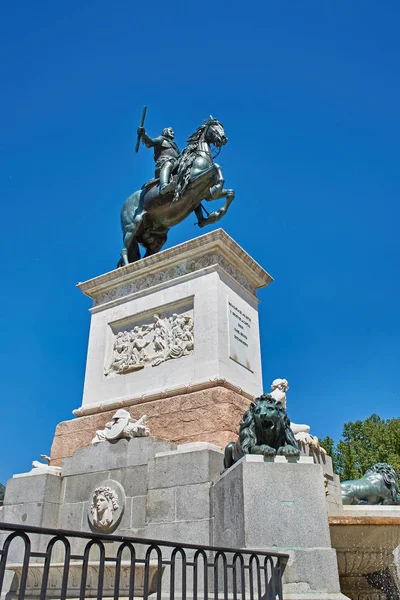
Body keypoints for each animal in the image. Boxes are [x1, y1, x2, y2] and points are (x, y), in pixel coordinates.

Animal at [117, 117, 234, 264]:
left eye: (221, 127)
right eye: (214, 127)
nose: (224, 138)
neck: (200, 157)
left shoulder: (205, 194)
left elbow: (230, 193)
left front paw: (217, 213)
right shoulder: (193, 180)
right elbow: (216, 166)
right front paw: (218, 187)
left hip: (156, 238)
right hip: (133, 226)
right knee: (124, 250)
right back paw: (128, 267)